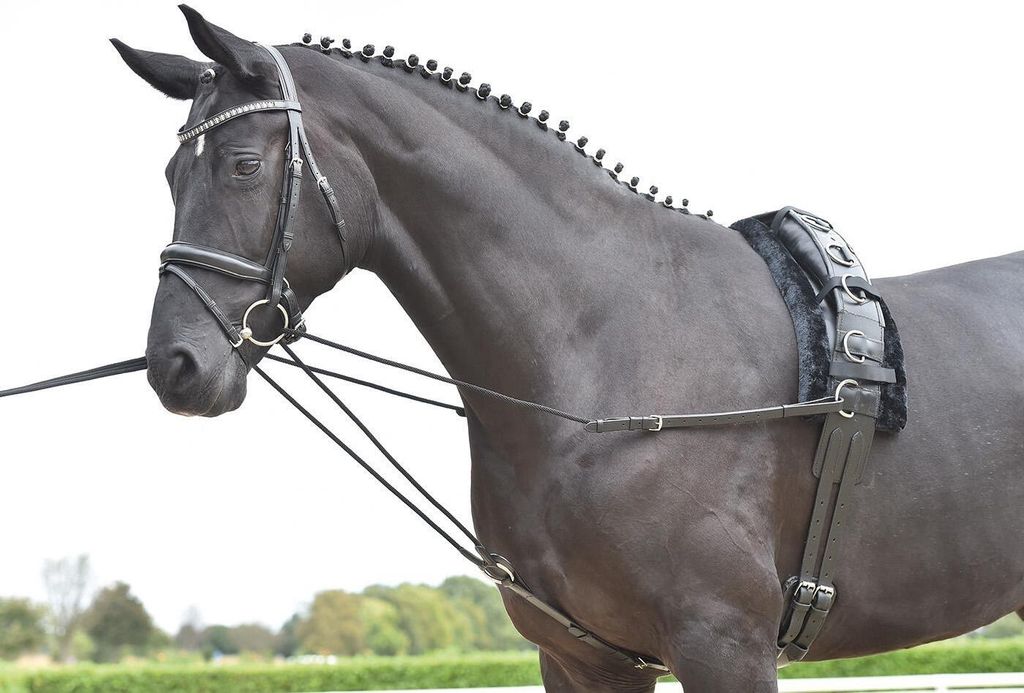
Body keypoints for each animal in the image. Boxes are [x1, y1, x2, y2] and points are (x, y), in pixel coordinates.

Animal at [112, 7, 1024, 691]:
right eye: (169, 174)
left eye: (241, 165)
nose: (175, 365)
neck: (606, 365)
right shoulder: (586, 657)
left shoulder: (724, 643)